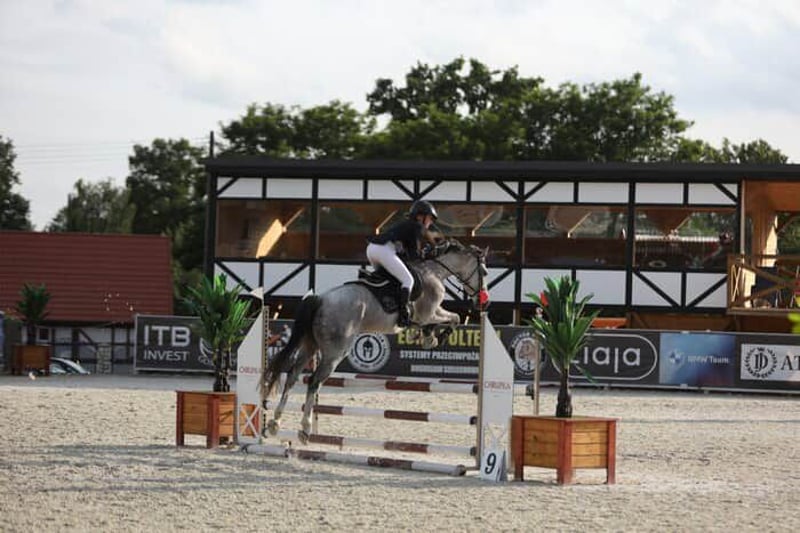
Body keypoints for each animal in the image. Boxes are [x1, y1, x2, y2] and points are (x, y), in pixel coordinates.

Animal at [261, 238, 488, 443]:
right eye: (484, 273)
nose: (483, 302)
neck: (434, 271)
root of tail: (320, 299)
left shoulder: (431, 314)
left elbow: (450, 319)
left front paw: (425, 336)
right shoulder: (428, 313)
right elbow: (454, 318)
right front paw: (433, 338)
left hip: (310, 346)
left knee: (292, 375)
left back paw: (274, 423)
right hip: (335, 352)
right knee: (314, 381)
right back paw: (305, 429)